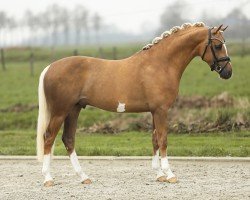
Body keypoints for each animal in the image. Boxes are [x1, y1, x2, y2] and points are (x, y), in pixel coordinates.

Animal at [36, 22, 232, 187]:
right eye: (217, 46)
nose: (228, 72)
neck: (160, 64)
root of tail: (50, 67)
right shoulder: (161, 111)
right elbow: (163, 140)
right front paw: (169, 174)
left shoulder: (154, 111)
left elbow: (155, 140)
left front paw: (159, 174)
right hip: (60, 111)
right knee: (49, 137)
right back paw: (48, 178)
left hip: (74, 110)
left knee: (68, 139)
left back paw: (84, 177)